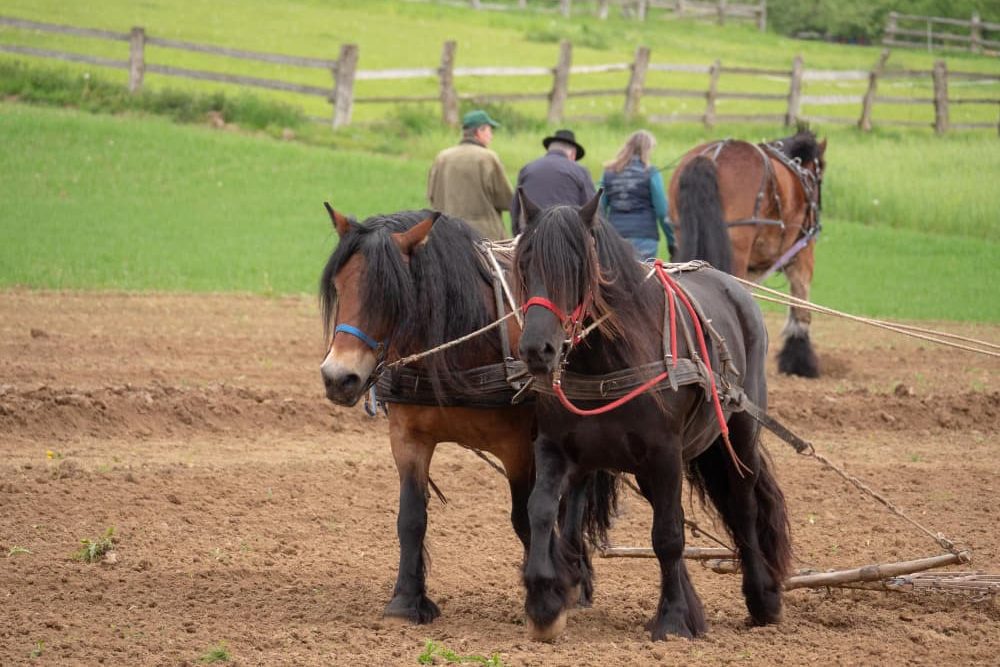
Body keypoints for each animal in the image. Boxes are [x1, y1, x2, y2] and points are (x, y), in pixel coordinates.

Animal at [318, 205, 614, 624]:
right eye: (340, 286)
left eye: (392, 295)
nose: (338, 377)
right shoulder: (407, 438)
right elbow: (411, 517)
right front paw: (407, 600)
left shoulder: (517, 447)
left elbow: (524, 518)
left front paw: (548, 594)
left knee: (575, 496)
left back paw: (576, 575)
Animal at [513, 192, 792, 641]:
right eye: (524, 262)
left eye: (577, 266)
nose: (538, 350)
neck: (606, 363)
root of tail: (735, 288)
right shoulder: (555, 447)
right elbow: (540, 509)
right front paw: (544, 602)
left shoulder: (664, 454)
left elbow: (668, 536)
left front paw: (674, 618)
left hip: (738, 431)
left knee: (743, 506)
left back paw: (762, 597)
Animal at [669, 129, 827, 378]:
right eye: (820, 174)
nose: (817, 208)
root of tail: (710, 158)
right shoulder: (802, 251)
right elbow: (801, 303)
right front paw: (800, 360)